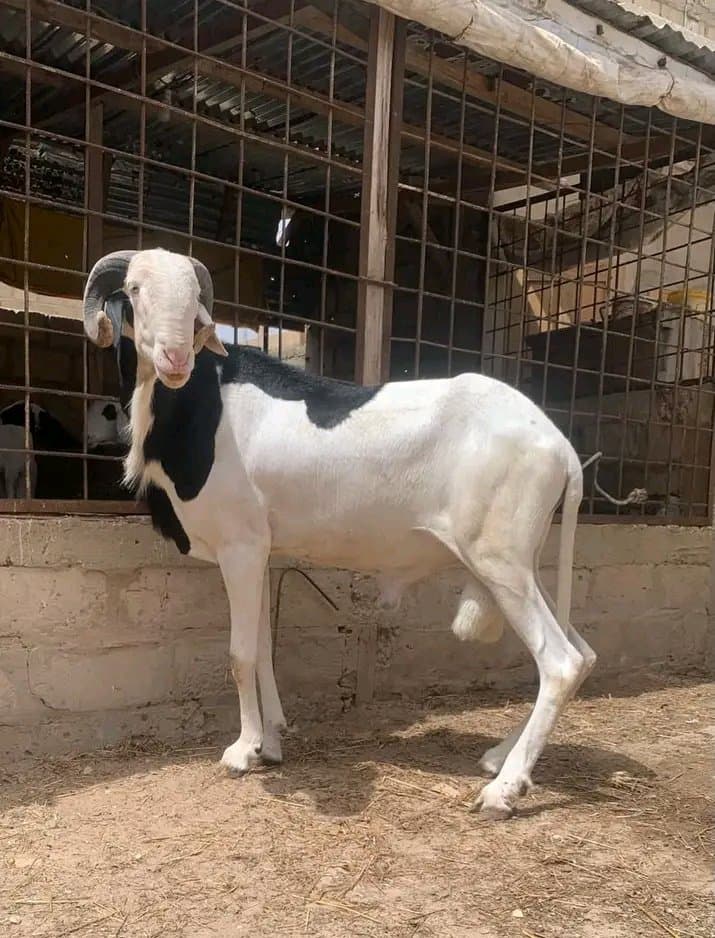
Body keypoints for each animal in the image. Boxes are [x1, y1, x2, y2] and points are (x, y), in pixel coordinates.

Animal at [82, 247, 598, 820]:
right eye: (134, 289)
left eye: (195, 298)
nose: (175, 358)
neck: (204, 406)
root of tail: (560, 446)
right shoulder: (261, 552)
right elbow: (262, 646)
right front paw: (272, 741)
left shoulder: (240, 548)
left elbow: (240, 654)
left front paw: (243, 751)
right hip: (522, 563)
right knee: (582, 654)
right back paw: (499, 758)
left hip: (499, 560)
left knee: (559, 661)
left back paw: (504, 790)